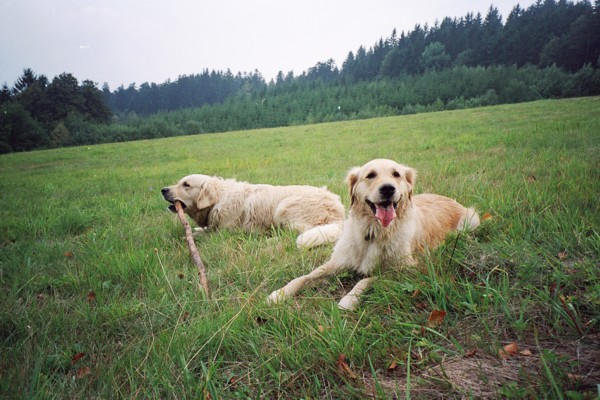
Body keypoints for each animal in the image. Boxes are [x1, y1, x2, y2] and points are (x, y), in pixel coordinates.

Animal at [268, 159, 478, 310]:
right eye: (370, 175)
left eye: (396, 174)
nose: (388, 188)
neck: (373, 231)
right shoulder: (338, 261)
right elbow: (304, 277)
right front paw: (279, 294)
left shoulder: (407, 268)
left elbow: (368, 279)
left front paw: (349, 299)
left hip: (471, 220)